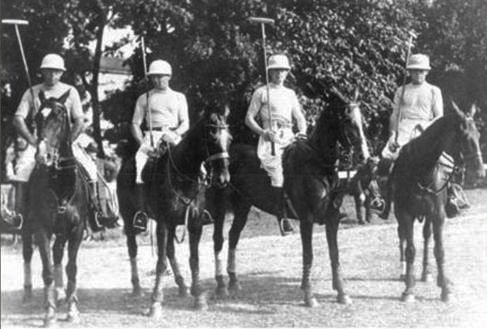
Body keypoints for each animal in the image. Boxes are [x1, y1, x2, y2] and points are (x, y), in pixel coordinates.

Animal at [20, 89, 91, 326]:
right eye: (37, 118)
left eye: (59, 117)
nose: (43, 156)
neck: (60, 184)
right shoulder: (41, 228)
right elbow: (47, 270)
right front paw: (49, 313)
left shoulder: (76, 230)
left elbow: (71, 268)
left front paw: (72, 309)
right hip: (27, 227)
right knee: (27, 254)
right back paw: (29, 293)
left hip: (62, 232)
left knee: (59, 254)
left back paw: (61, 294)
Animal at [117, 102, 233, 316]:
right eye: (212, 137)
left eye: (229, 139)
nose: (223, 178)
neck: (182, 175)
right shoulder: (163, 223)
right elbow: (160, 262)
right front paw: (155, 302)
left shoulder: (194, 224)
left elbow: (193, 259)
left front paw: (198, 297)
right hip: (129, 219)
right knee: (133, 249)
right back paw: (137, 288)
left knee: (170, 251)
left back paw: (182, 286)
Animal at [206, 88, 370, 306]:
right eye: (347, 119)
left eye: (361, 119)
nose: (364, 156)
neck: (318, 164)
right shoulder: (307, 219)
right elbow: (308, 255)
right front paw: (309, 296)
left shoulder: (332, 218)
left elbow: (334, 255)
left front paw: (342, 293)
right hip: (220, 207)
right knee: (219, 239)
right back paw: (221, 286)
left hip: (243, 206)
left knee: (233, 236)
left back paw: (234, 281)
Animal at [386, 101, 484, 302]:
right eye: (465, 137)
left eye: (478, 135)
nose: (480, 174)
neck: (420, 168)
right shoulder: (404, 214)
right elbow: (410, 249)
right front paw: (409, 288)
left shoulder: (438, 214)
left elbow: (439, 250)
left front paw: (445, 288)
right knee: (402, 237)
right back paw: (404, 273)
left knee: (427, 237)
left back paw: (429, 273)